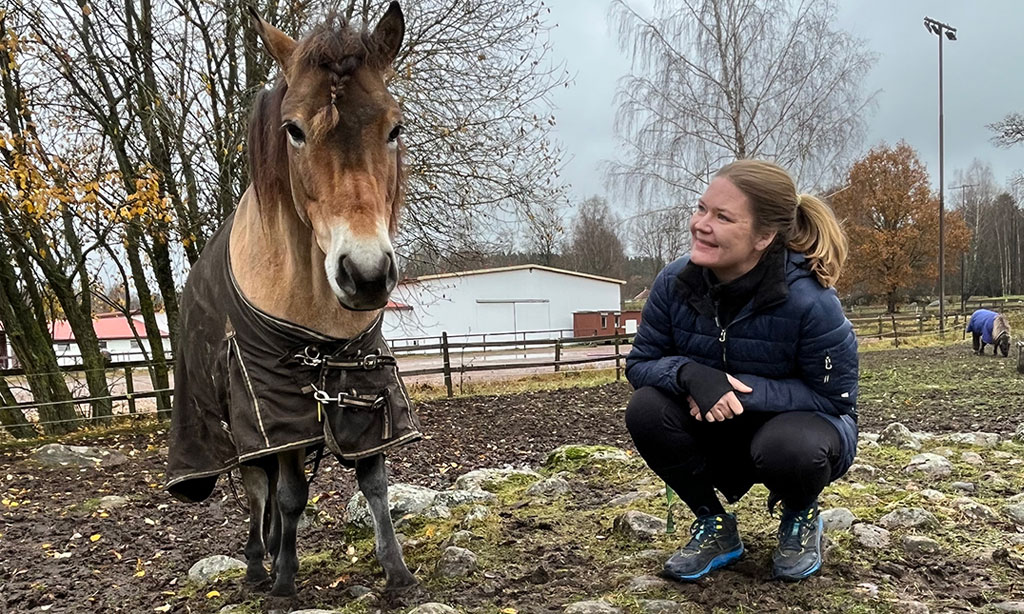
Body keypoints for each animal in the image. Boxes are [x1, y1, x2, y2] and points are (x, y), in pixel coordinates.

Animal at [165, 2, 421, 597]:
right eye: (294, 130)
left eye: (394, 126)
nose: (366, 275)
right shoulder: (272, 407)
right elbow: (286, 494)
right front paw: (282, 582)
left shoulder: (362, 390)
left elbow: (374, 482)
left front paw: (395, 570)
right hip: (240, 424)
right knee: (260, 490)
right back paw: (261, 564)